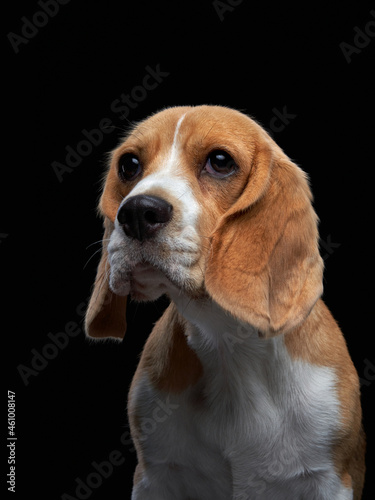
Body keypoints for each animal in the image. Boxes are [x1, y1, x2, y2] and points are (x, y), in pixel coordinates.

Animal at [83, 103, 366, 498]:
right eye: (129, 165)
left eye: (220, 161)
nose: (137, 212)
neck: (228, 345)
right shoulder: (154, 477)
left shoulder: (331, 479)